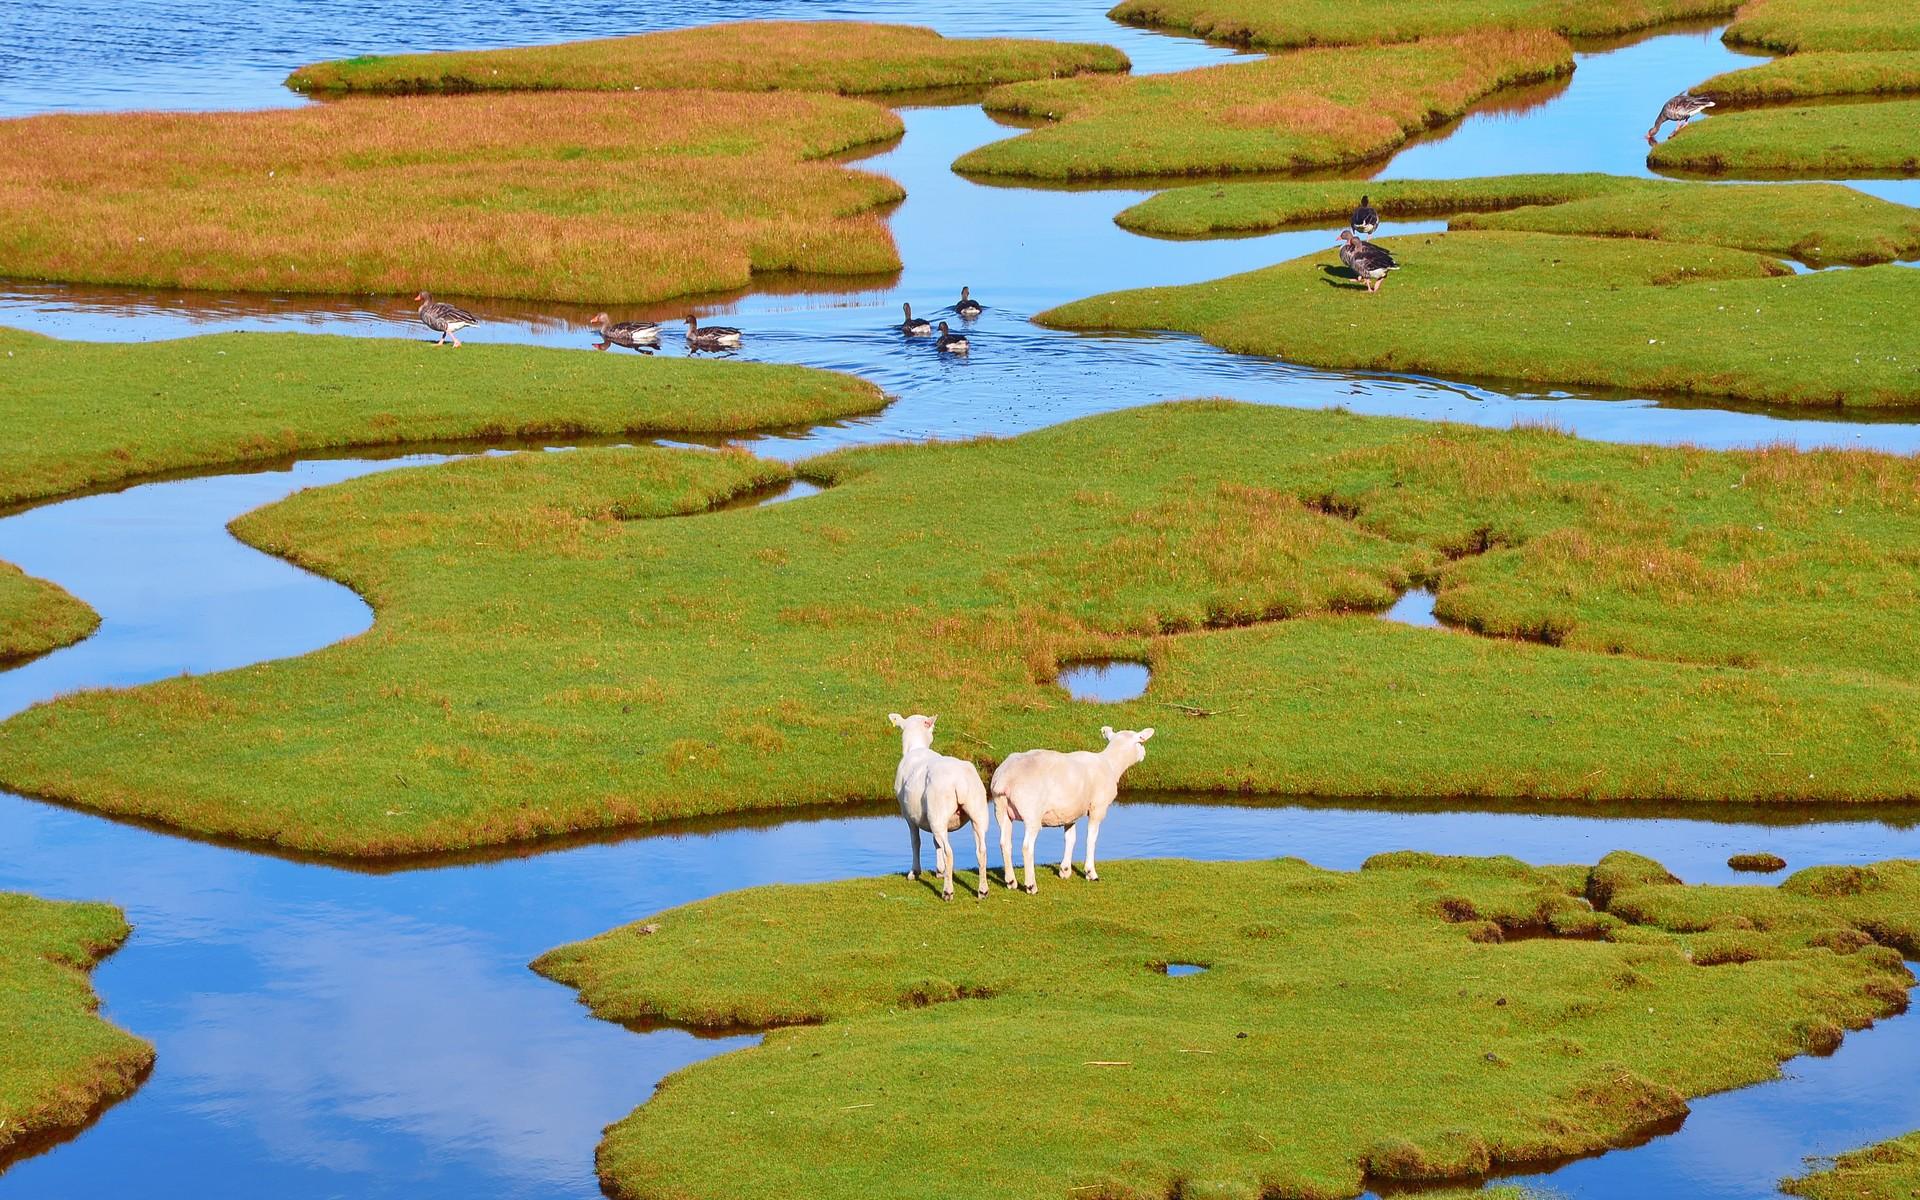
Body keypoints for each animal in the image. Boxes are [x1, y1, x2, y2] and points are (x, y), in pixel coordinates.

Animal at [888, 712, 991, 900]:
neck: (915, 747)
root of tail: (959, 781)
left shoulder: (909, 816)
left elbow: (916, 842)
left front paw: (914, 872)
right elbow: (935, 843)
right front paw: (940, 871)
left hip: (939, 813)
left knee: (949, 852)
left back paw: (948, 892)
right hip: (977, 812)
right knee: (981, 850)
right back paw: (982, 890)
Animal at [990, 726, 1154, 894]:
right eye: (1141, 741)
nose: (1144, 754)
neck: (1111, 764)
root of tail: (1005, 778)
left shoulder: (1070, 812)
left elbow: (1070, 838)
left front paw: (1065, 870)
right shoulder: (1097, 808)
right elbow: (1091, 839)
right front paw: (1090, 873)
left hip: (1000, 808)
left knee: (1004, 843)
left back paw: (1011, 881)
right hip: (1031, 812)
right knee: (1027, 847)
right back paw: (1031, 886)